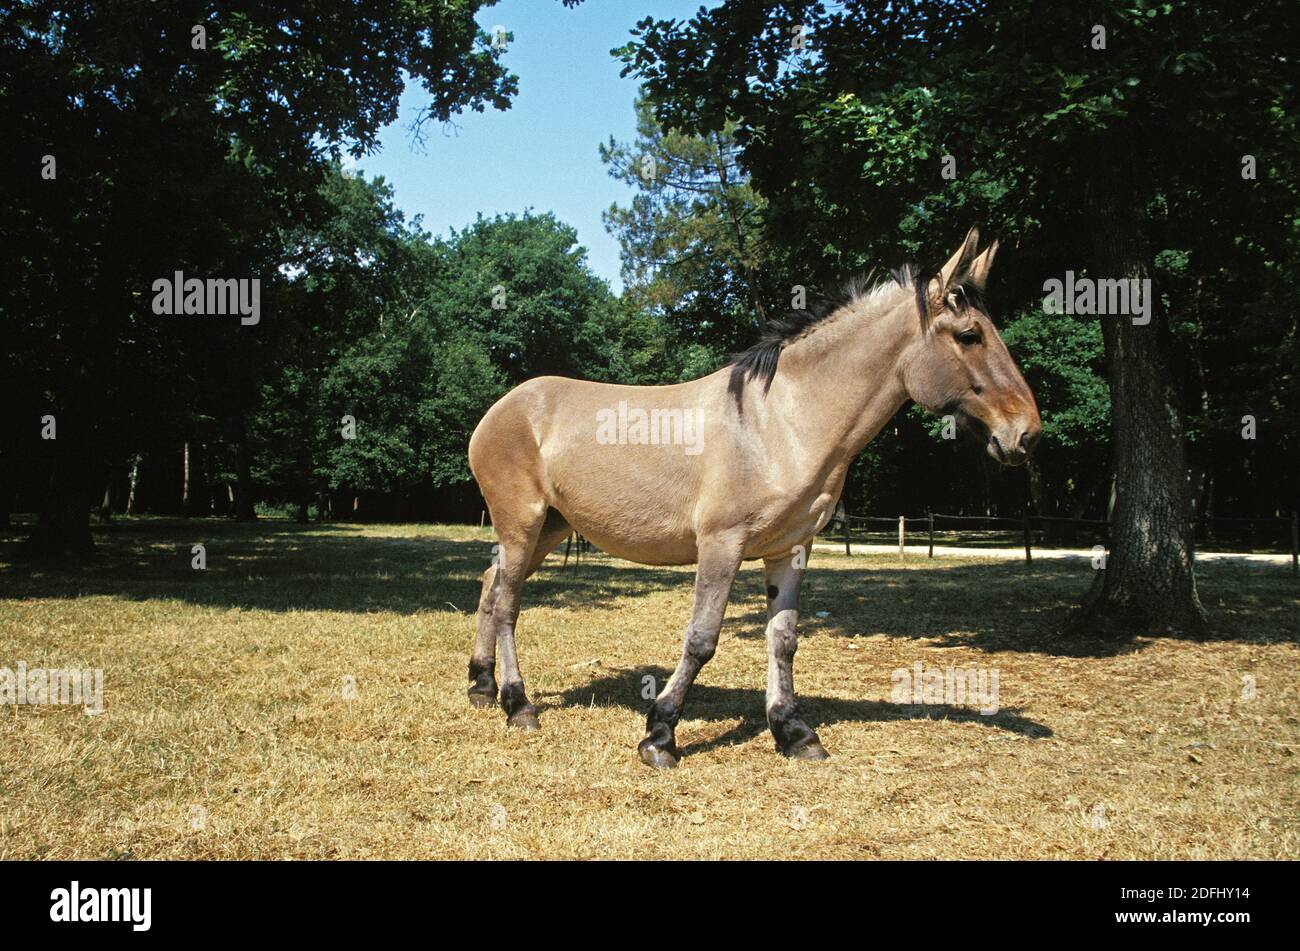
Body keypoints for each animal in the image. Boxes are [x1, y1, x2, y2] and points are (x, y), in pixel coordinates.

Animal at [467, 227, 1041, 767]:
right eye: (969, 336)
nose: (1027, 434)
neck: (780, 422)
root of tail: (502, 407)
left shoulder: (790, 549)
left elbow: (783, 639)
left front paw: (794, 732)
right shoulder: (721, 544)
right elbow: (702, 639)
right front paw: (660, 734)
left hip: (550, 527)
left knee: (492, 586)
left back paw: (481, 685)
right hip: (521, 524)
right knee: (508, 601)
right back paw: (519, 706)